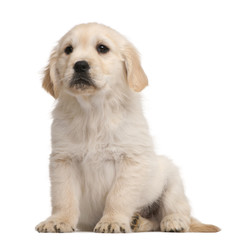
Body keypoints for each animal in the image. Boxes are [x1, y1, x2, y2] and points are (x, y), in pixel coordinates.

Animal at [35, 22, 220, 232]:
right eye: (68, 50)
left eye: (102, 48)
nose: (80, 65)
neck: (93, 112)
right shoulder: (62, 160)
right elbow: (64, 196)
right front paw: (59, 220)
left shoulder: (131, 161)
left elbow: (118, 196)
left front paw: (112, 221)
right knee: (154, 221)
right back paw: (138, 221)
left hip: (172, 180)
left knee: (178, 210)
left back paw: (174, 221)